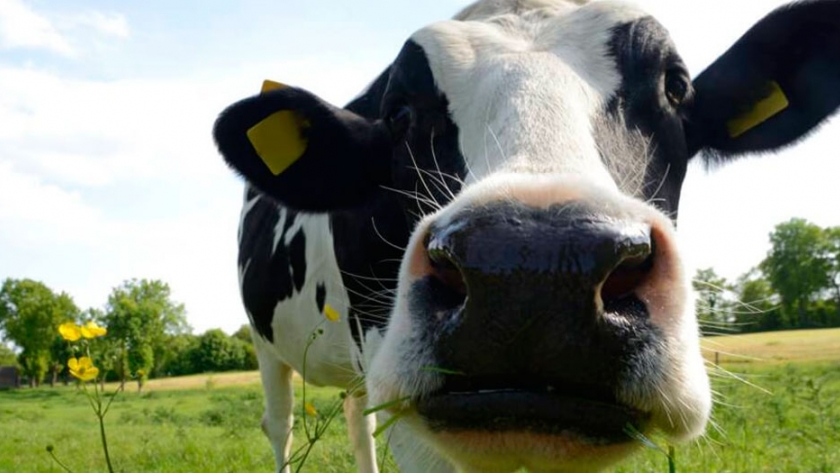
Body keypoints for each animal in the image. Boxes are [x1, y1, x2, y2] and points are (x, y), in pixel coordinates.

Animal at [213, 0, 840, 471]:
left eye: (676, 86)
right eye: (398, 112)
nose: (533, 267)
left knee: (353, 417)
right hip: (267, 345)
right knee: (281, 424)